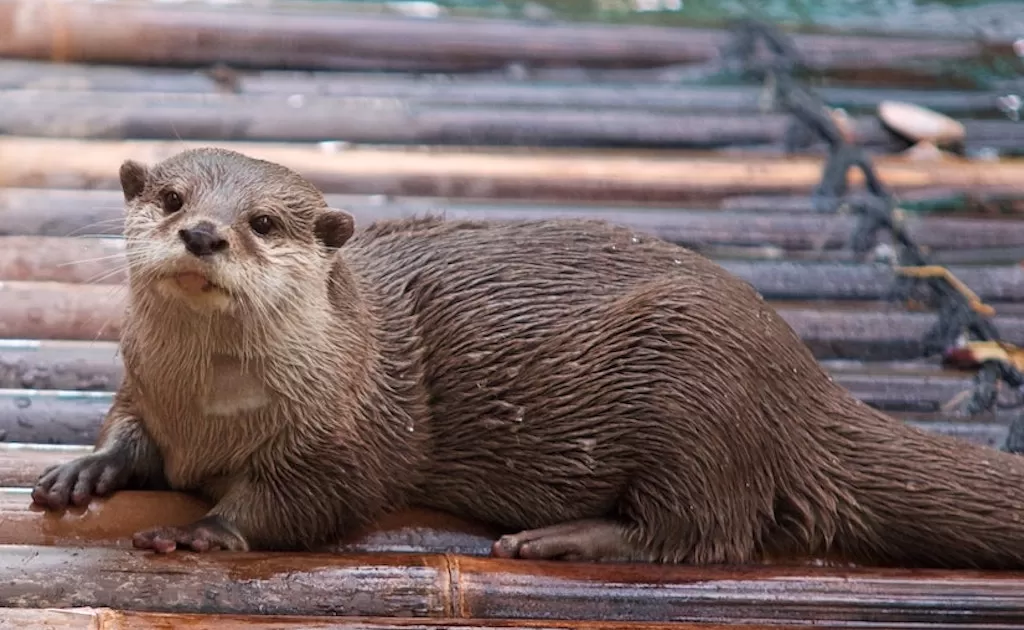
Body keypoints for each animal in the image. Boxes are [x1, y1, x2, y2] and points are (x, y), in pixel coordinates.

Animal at [30, 147, 1024, 567]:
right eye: (170, 197)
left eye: (264, 223)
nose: (203, 233)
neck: (213, 412)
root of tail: (804, 379)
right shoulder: (144, 387)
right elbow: (127, 430)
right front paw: (87, 470)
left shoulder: (352, 434)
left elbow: (313, 504)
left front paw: (206, 529)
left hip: (697, 387)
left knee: (709, 532)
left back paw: (562, 537)